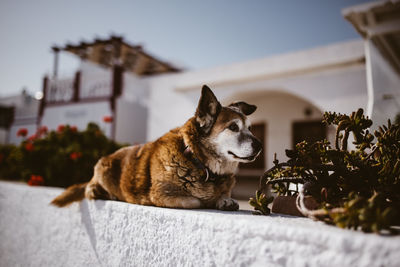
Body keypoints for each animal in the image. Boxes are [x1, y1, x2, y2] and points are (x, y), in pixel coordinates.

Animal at [50, 86, 262, 211]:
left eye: (250, 128)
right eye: (233, 127)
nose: (260, 146)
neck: (198, 161)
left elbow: (224, 195)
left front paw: (223, 199)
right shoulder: (162, 194)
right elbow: (195, 200)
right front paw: (211, 199)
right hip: (102, 167)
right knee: (89, 189)